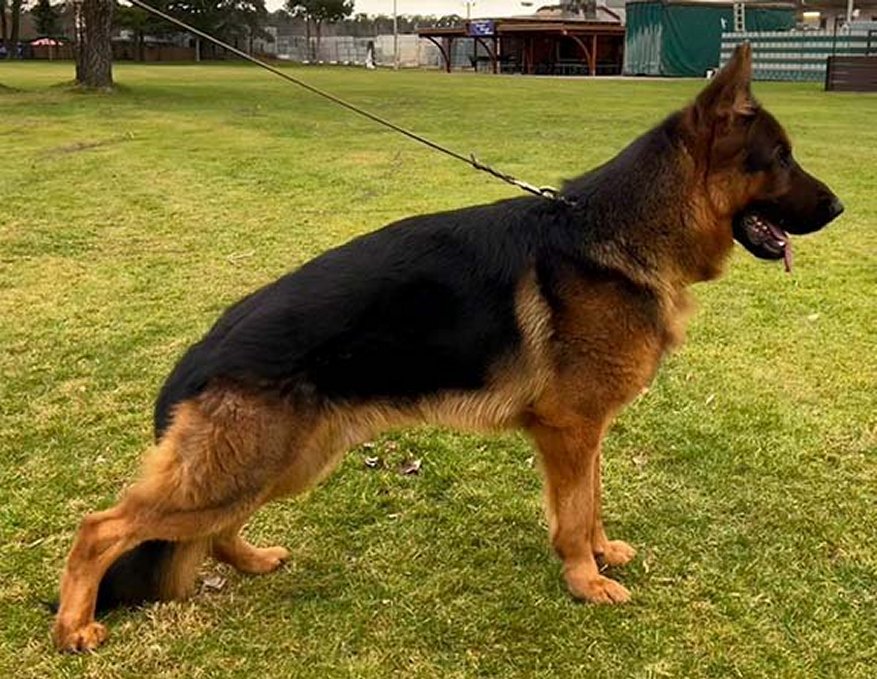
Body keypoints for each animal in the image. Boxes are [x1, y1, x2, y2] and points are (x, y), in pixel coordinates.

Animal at [54, 45, 840, 652]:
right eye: (779, 159)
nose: (839, 208)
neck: (619, 236)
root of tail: (199, 353)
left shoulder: (588, 432)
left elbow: (592, 502)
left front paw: (600, 555)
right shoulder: (568, 431)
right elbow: (574, 512)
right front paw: (584, 580)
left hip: (287, 460)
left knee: (214, 530)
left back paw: (249, 559)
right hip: (246, 464)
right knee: (100, 528)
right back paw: (74, 627)